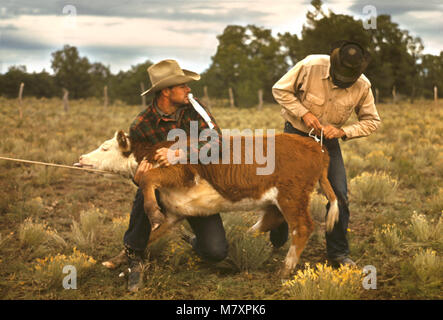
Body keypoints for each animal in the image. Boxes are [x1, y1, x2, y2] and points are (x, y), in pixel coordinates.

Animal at [77, 131, 340, 278]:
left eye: (105, 147)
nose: (80, 158)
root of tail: (317, 147)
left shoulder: (178, 173)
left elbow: (147, 178)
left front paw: (152, 213)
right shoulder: (175, 212)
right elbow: (150, 235)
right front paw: (116, 260)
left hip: (292, 196)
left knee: (302, 227)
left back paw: (285, 268)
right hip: (278, 199)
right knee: (270, 220)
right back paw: (241, 241)